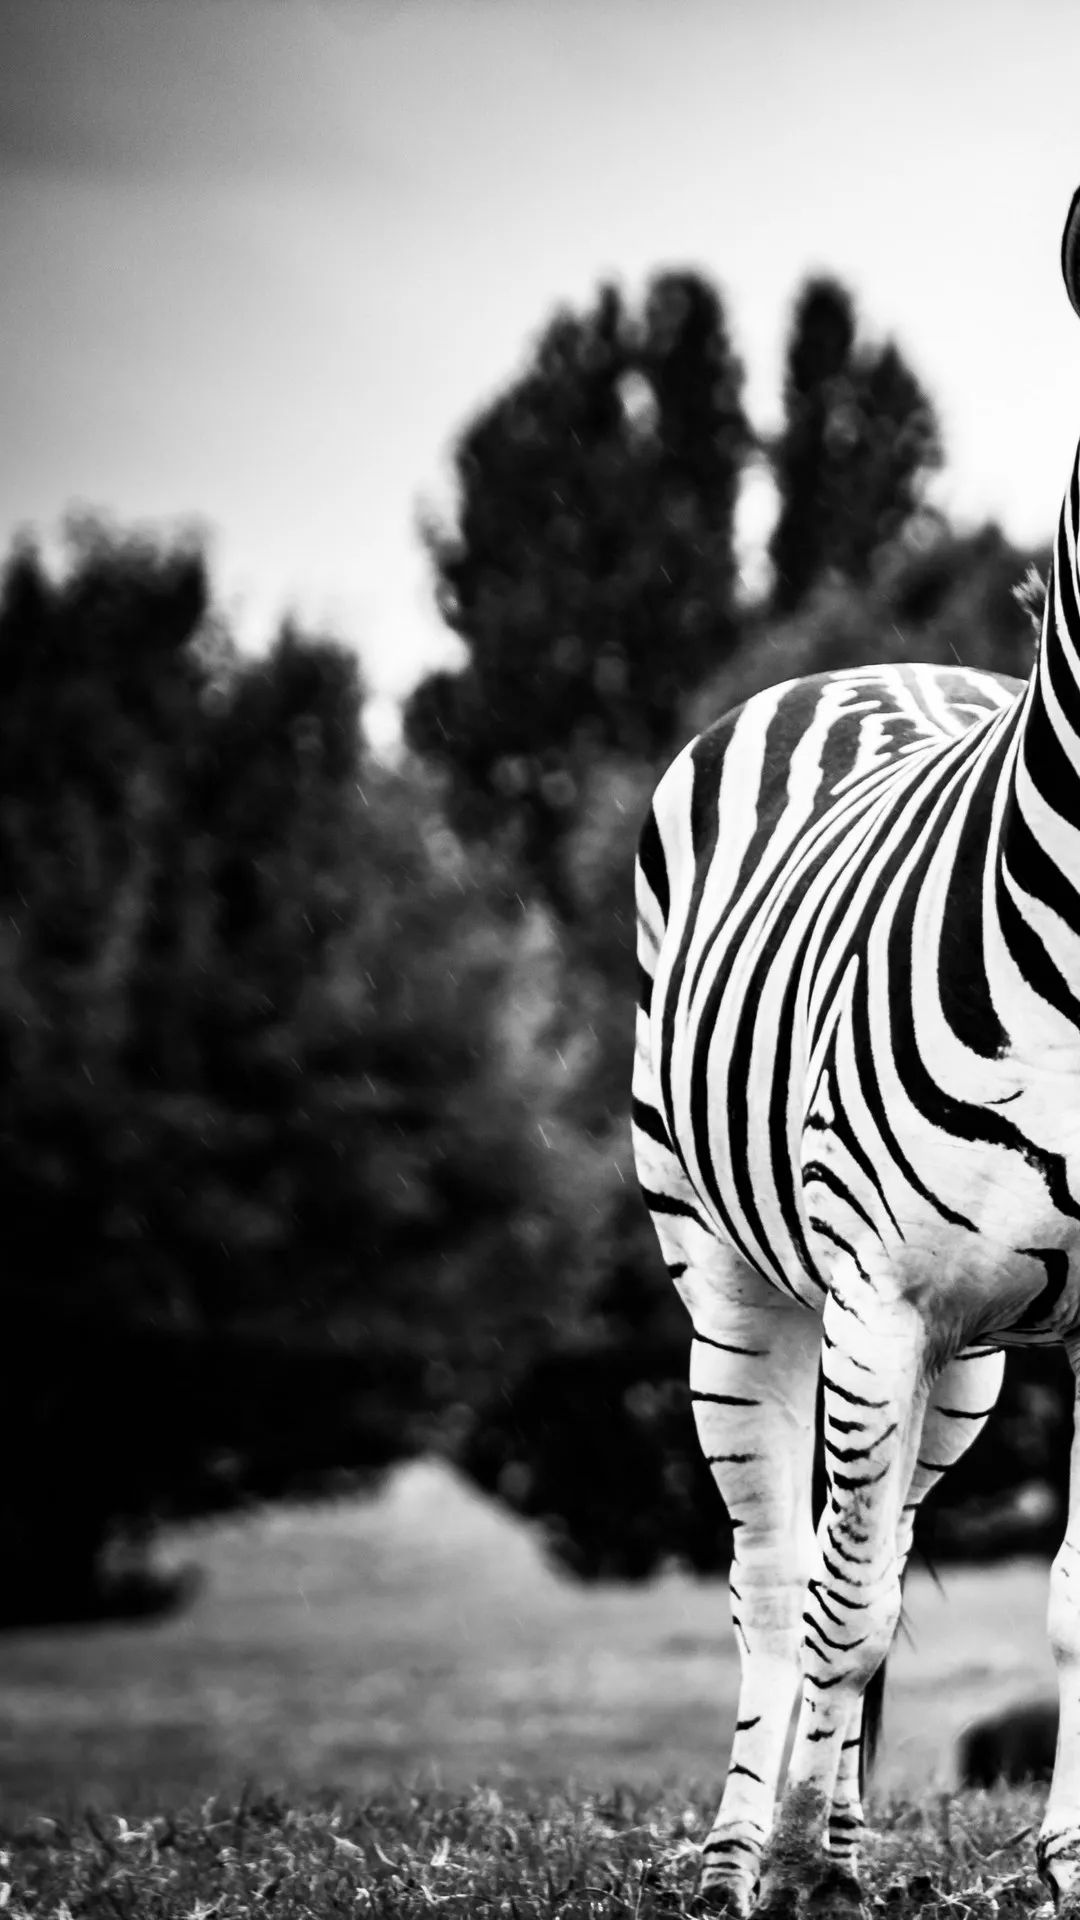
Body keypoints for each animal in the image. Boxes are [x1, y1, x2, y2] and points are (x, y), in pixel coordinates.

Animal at [632, 186, 1080, 1919]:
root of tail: (867, 665)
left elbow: (1052, 1598)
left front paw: (1067, 1857)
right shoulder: (872, 1296)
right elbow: (830, 1605)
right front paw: (786, 1873)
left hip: (967, 1356)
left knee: (868, 1550)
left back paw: (834, 1836)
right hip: (734, 1281)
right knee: (779, 1573)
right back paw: (743, 1849)